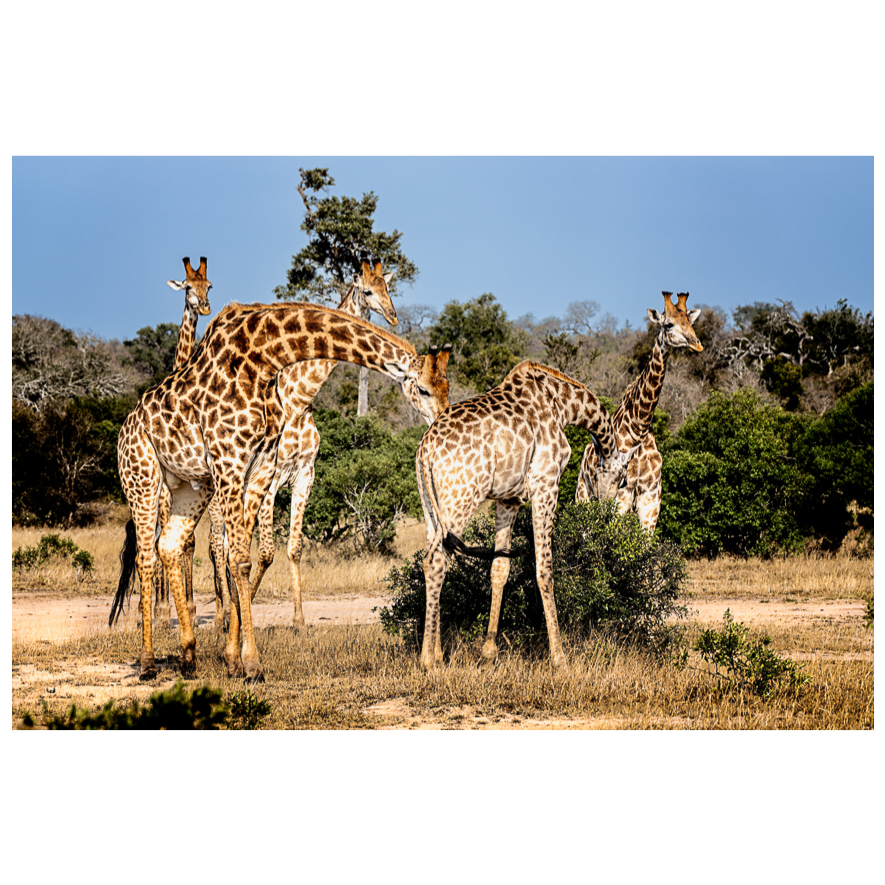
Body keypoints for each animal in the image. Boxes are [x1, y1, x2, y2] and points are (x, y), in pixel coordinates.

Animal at [111, 301, 451, 681]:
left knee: (169, 545)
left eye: (447, 386)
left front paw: (233, 659)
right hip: (143, 479)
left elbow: (243, 558)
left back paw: (188, 657)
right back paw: (147, 662)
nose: (442, 420)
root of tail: (126, 426)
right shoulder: (231, 462)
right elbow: (239, 559)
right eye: (423, 389)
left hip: (192, 487)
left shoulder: (261, 468)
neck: (265, 357)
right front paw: (252, 665)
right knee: (145, 556)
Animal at [415, 360, 632, 670]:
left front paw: (489, 651)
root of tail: (426, 450)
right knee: (435, 561)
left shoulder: (508, 498)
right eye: (622, 479)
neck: (563, 403)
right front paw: (559, 657)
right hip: (462, 497)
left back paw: (439, 654)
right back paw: (427, 660)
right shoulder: (546, 484)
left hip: (430, 506)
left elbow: (499, 568)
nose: (604, 508)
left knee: (435, 560)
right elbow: (544, 569)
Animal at [576, 291, 702, 532]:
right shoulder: (620, 498)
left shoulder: (650, 503)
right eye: (668, 324)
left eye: (690, 322)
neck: (638, 428)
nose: (697, 345)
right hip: (583, 495)